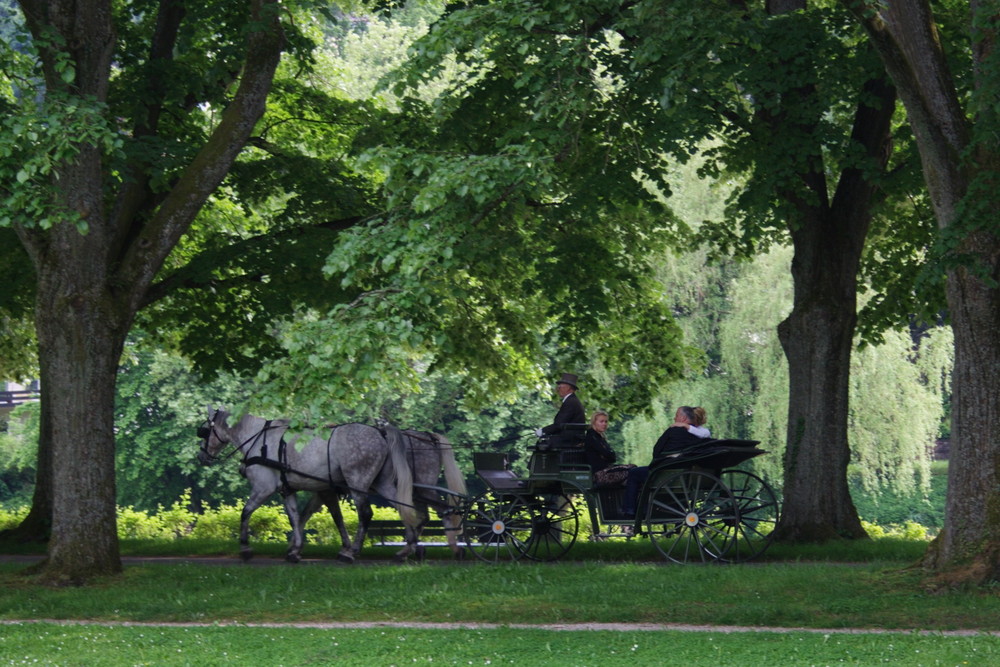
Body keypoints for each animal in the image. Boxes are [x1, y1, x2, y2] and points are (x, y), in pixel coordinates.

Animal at [195, 408, 418, 564]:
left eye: (205, 431)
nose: (201, 456)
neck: (258, 439)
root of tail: (380, 432)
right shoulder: (287, 490)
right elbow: (295, 517)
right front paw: (295, 550)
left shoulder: (263, 488)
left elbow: (245, 512)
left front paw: (245, 549)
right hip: (382, 483)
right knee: (403, 507)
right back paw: (407, 549)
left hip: (357, 482)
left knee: (365, 513)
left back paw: (352, 552)